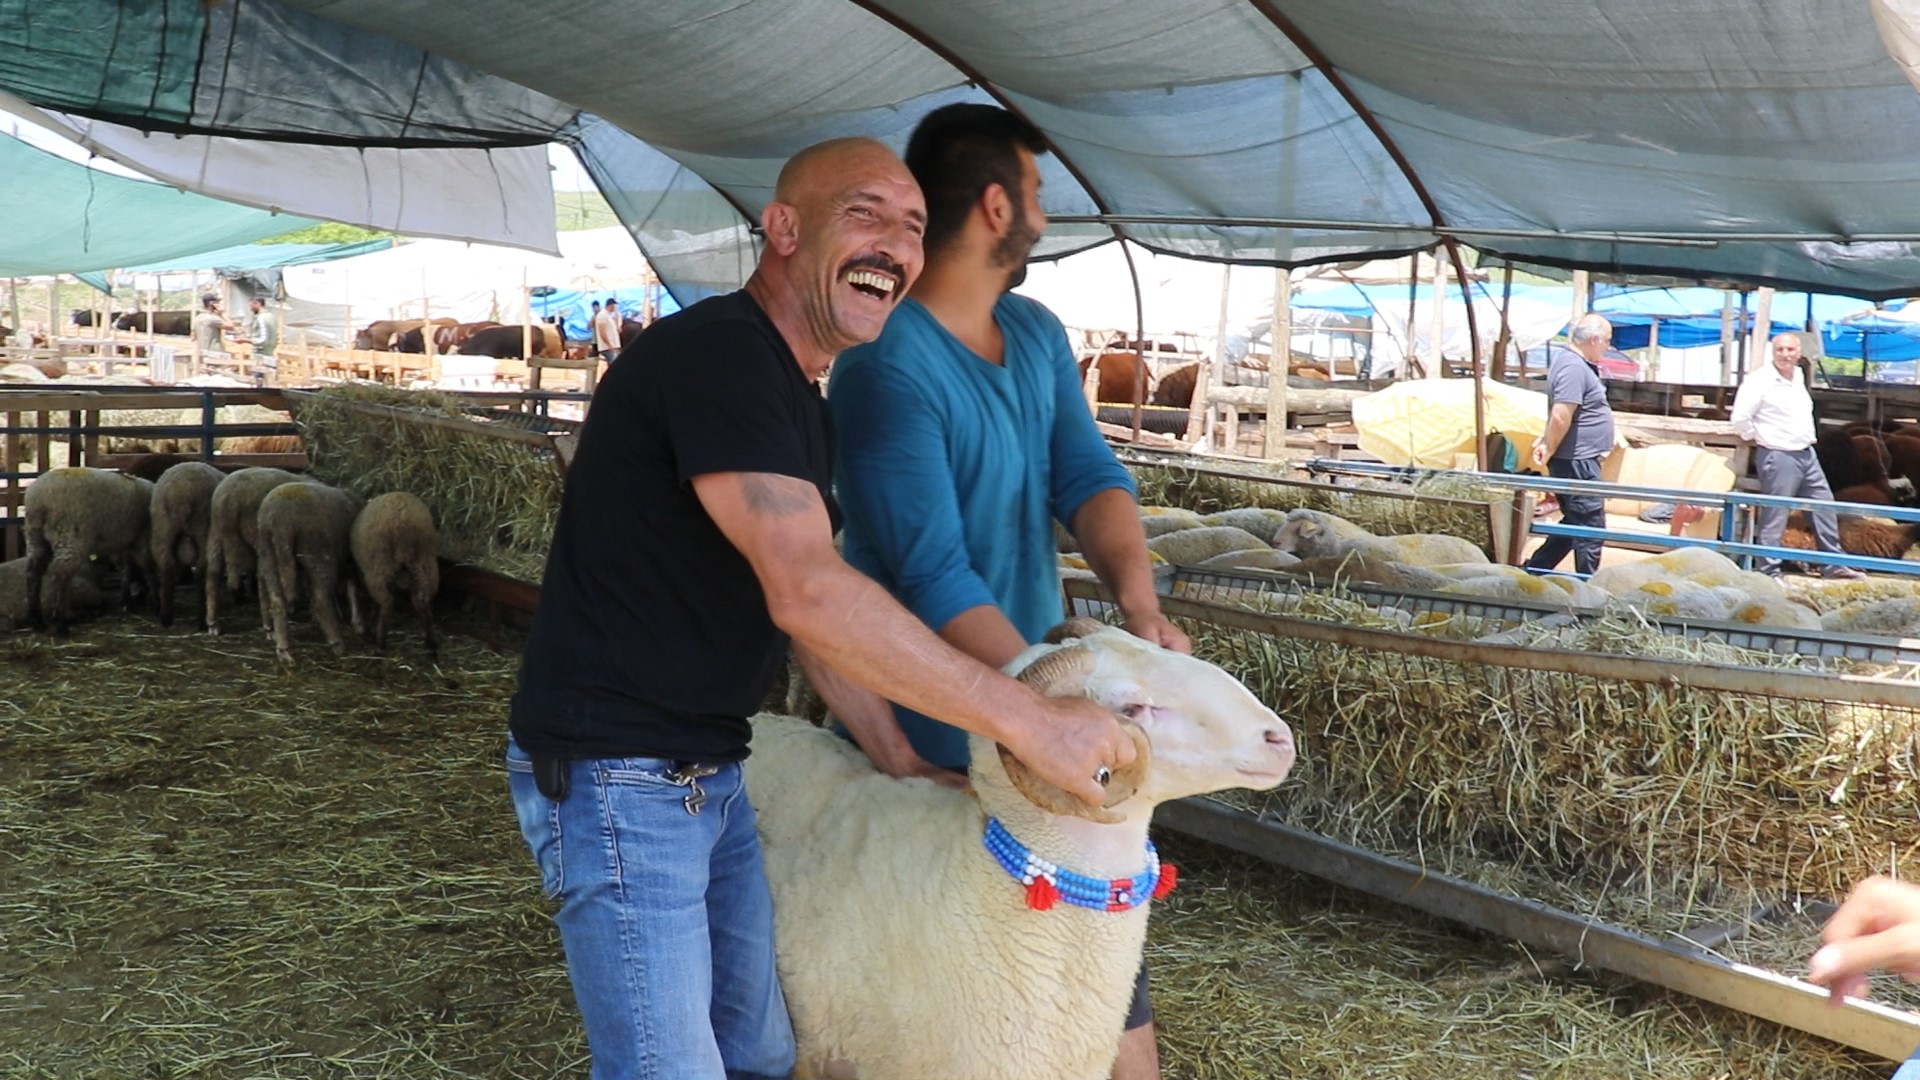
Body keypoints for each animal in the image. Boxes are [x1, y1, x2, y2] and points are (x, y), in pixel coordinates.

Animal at [24, 463, 153, 630]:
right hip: (70, 535)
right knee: (60, 575)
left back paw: (36, 620)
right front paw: (154, 601)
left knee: (33, 573)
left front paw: (128, 602)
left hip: (34, 536)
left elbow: (127, 569)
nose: (141, 597)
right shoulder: (142, 538)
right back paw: (60, 624)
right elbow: (146, 567)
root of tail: (40, 501)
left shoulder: (123, 542)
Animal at [146, 457, 223, 626]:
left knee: (166, 565)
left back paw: (166, 618)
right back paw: (201, 619)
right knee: (201, 570)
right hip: (203, 530)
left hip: (162, 529)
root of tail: (181, 494)